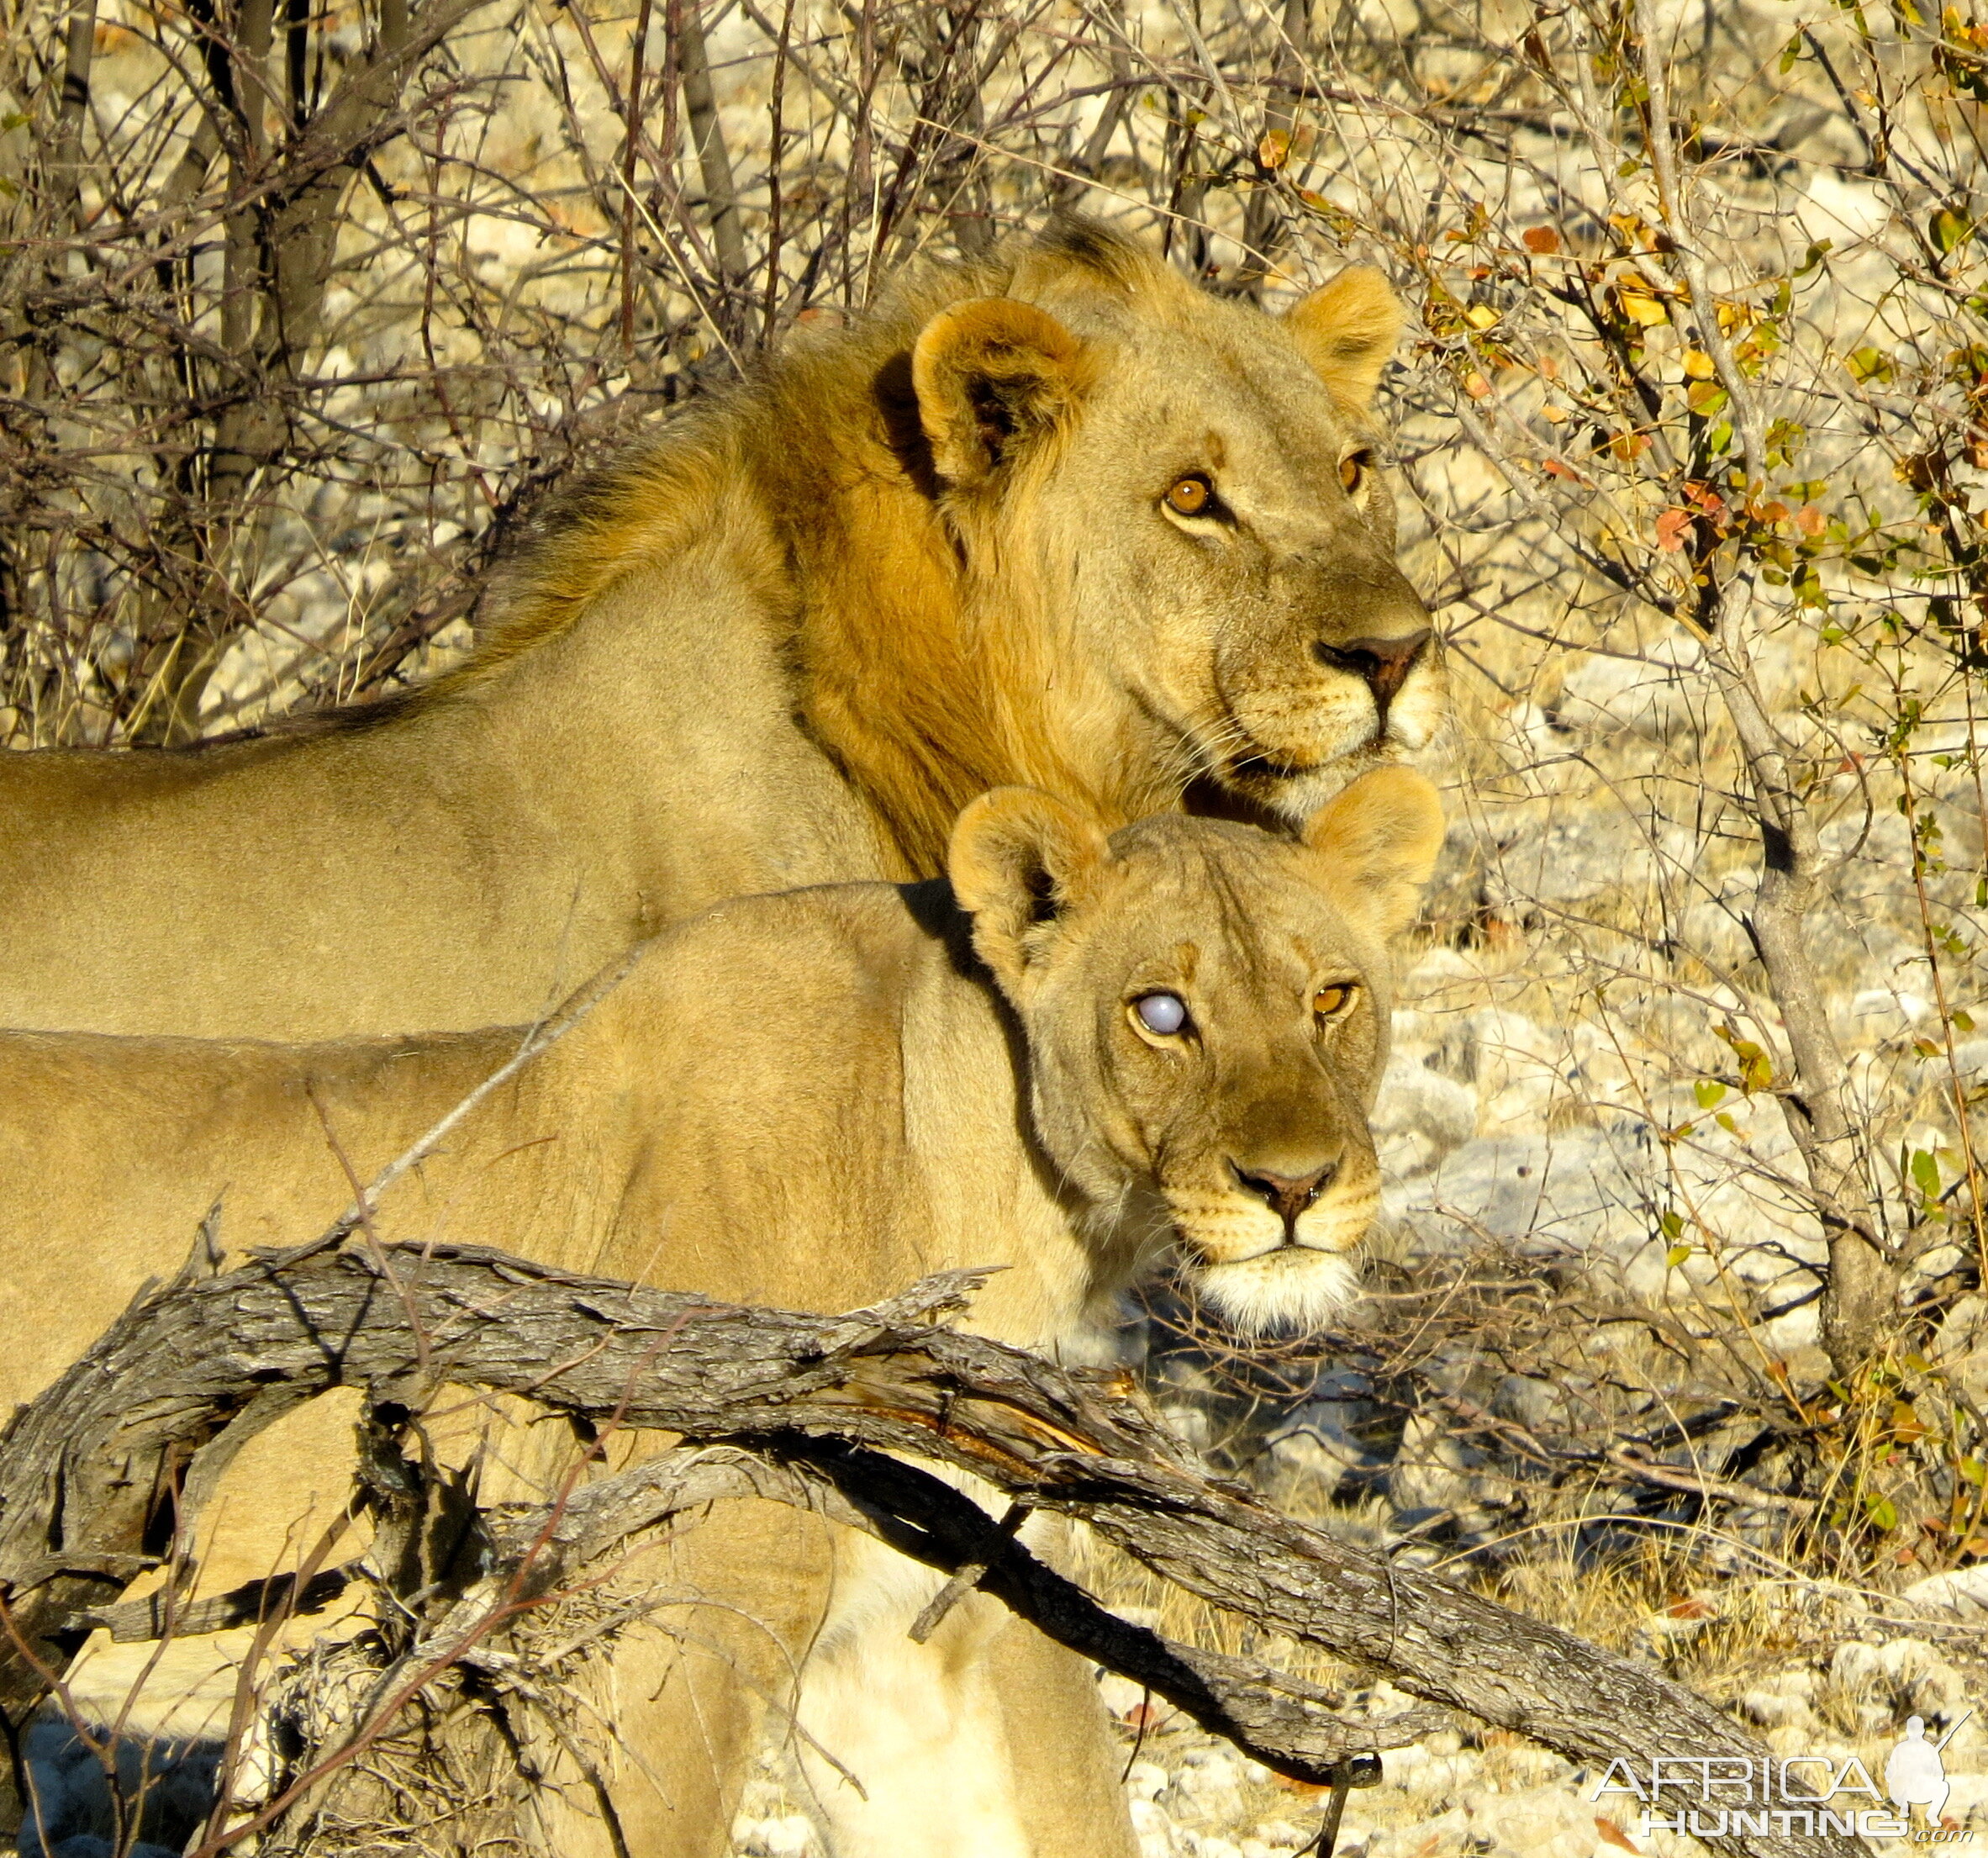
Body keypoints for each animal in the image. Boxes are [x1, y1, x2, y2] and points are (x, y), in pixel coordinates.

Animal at [0, 763, 1447, 1854]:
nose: (1296, 1185)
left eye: (1332, 995)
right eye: (1160, 1010)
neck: (1021, 1216)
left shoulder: (928, 1622)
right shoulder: (666, 1606)